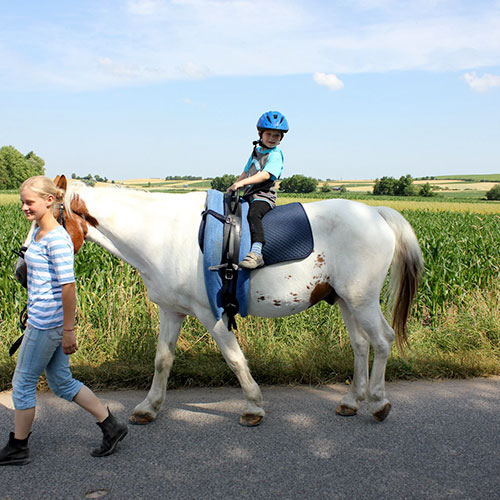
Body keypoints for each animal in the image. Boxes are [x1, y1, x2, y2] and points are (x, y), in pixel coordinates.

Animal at [15, 176, 422, 426]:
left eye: (42, 220)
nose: (20, 271)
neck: (161, 234)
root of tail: (375, 212)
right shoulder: (172, 311)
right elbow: (162, 360)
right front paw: (149, 408)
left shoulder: (210, 313)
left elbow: (234, 358)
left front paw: (254, 406)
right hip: (345, 301)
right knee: (359, 345)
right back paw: (351, 401)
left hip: (362, 300)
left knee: (382, 340)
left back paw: (379, 402)